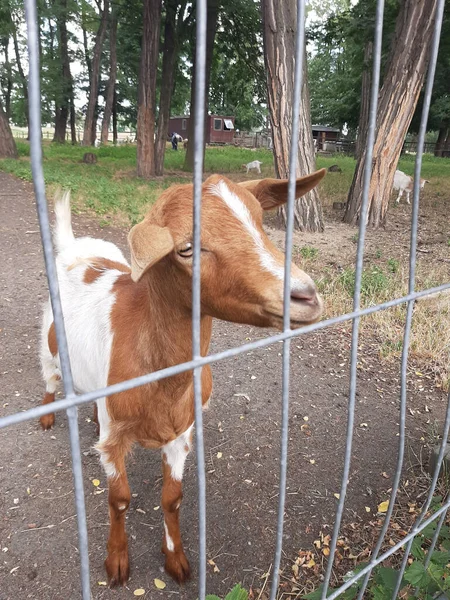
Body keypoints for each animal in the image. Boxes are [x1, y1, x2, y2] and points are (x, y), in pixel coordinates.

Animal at [38, 170, 326, 584]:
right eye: (186, 249)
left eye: (261, 223)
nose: (305, 297)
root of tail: (78, 249)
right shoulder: (115, 438)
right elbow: (119, 499)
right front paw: (117, 561)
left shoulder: (182, 430)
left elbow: (172, 499)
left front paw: (176, 559)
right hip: (49, 338)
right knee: (49, 373)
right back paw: (47, 413)